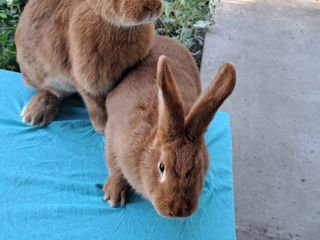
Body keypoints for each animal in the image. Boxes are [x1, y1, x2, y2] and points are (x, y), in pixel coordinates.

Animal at [15, 0, 162, 133]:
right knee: (52, 90)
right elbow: (94, 105)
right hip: (35, 74)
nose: (154, 7)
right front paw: (103, 128)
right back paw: (34, 114)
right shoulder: (83, 79)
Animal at [102, 35, 235, 218]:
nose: (178, 211)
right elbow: (114, 167)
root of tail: (164, 38)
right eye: (161, 167)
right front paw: (113, 196)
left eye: (197, 165)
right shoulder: (112, 140)